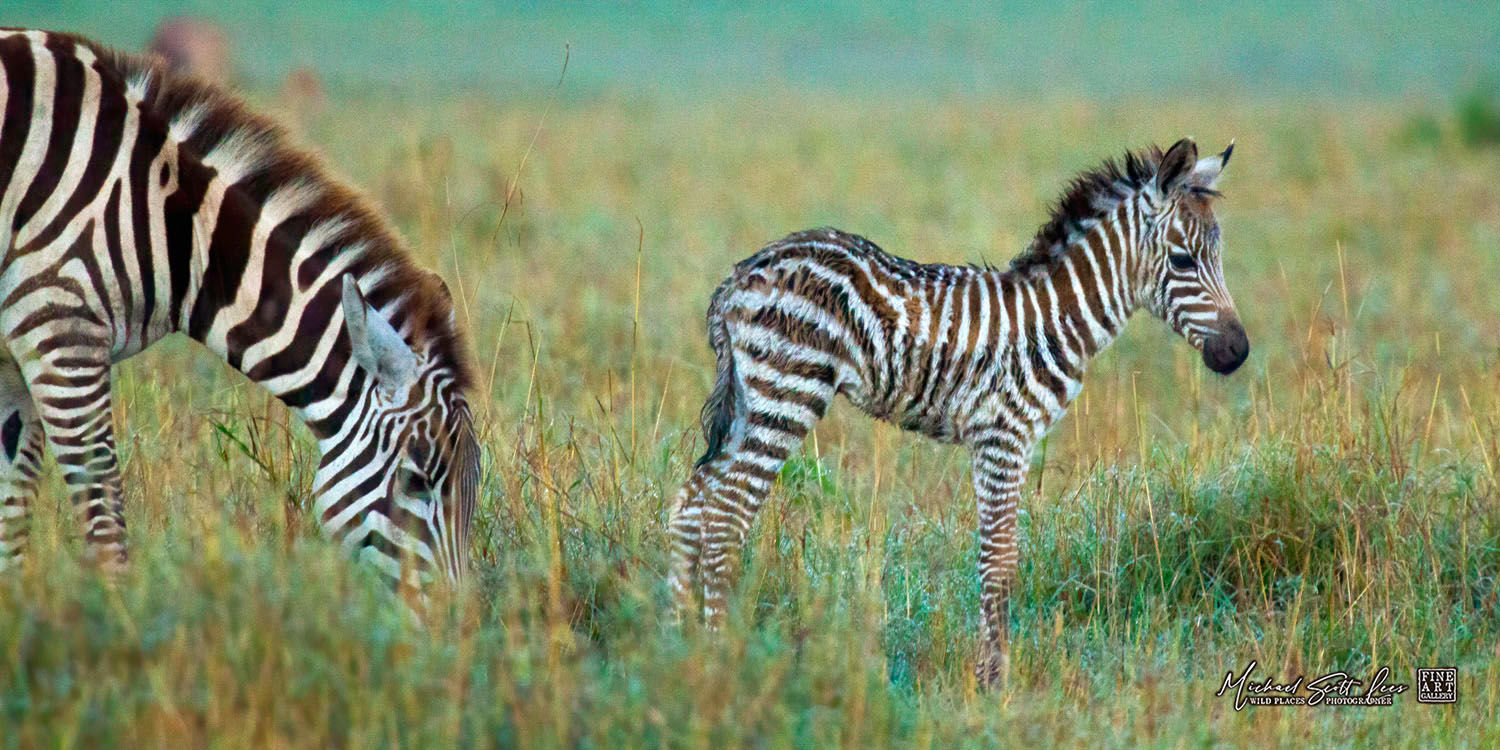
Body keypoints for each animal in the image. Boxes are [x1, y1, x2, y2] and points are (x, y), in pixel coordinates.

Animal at [0, 29, 480, 592]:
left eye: (474, 484)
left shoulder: (15, 362)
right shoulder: (61, 333)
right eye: (415, 480)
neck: (171, 226)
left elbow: (10, 522)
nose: (453, 615)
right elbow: (106, 525)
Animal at [667, 137, 1248, 688]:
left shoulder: (1006, 440)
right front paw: (995, 682)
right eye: (1183, 261)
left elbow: (998, 558)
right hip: (787, 392)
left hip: (751, 399)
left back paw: (680, 645)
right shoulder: (1003, 436)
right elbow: (999, 562)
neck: (1057, 318)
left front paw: (991, 674)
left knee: (691, 506)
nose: (1238, 353)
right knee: (724, 517)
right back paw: (721, 656)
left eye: (1219, 257)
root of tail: (739, 277)